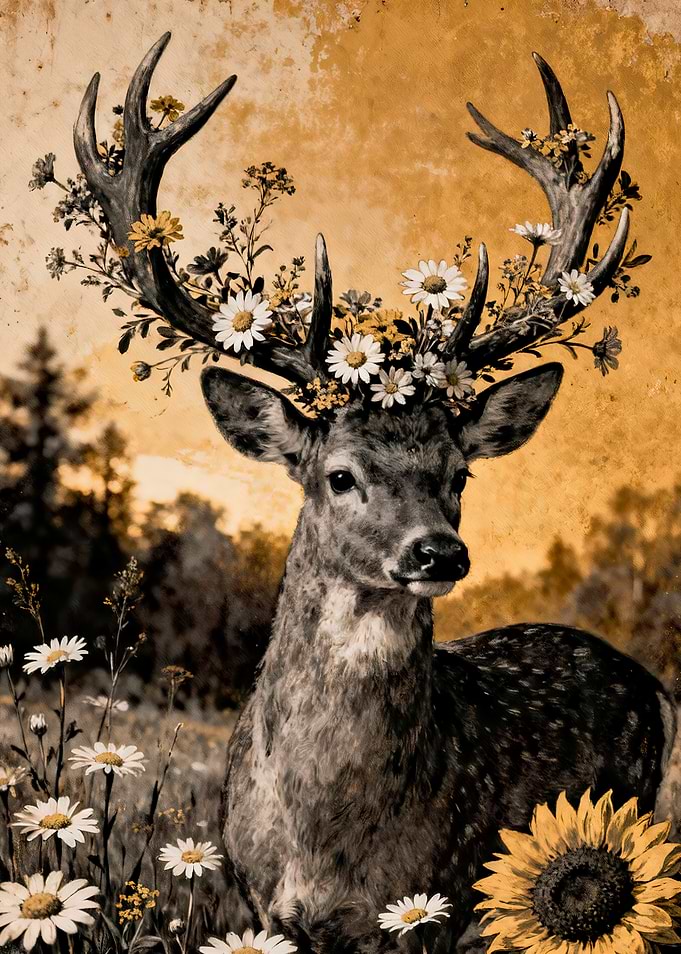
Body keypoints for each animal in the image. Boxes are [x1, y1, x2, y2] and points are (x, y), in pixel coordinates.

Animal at [74, 34, 679, 954]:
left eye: (459, 473)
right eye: (339, 474)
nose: (438, 551)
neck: (325, 843)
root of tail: (651, 685)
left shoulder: (429, 901)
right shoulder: (260, 907)